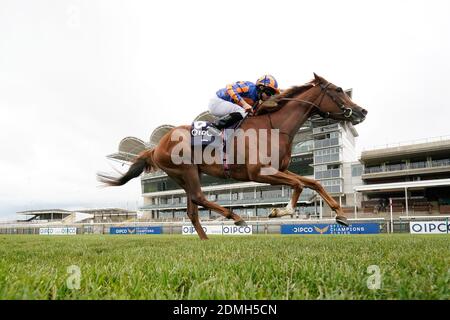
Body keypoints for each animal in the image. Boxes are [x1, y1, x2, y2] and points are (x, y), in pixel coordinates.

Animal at [97, 74, 366, 239]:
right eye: (338, 89)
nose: (362, 111)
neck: (274, 126)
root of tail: (156, 146)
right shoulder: (259, 173)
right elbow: (299, 184)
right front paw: (281, 212)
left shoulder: (278, 169)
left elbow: (313, 182)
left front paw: (341, 215)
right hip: (186, 170)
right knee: (199, 198)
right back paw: (236, 218)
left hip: (186, 175)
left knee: (192, 209)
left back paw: (206, 239)